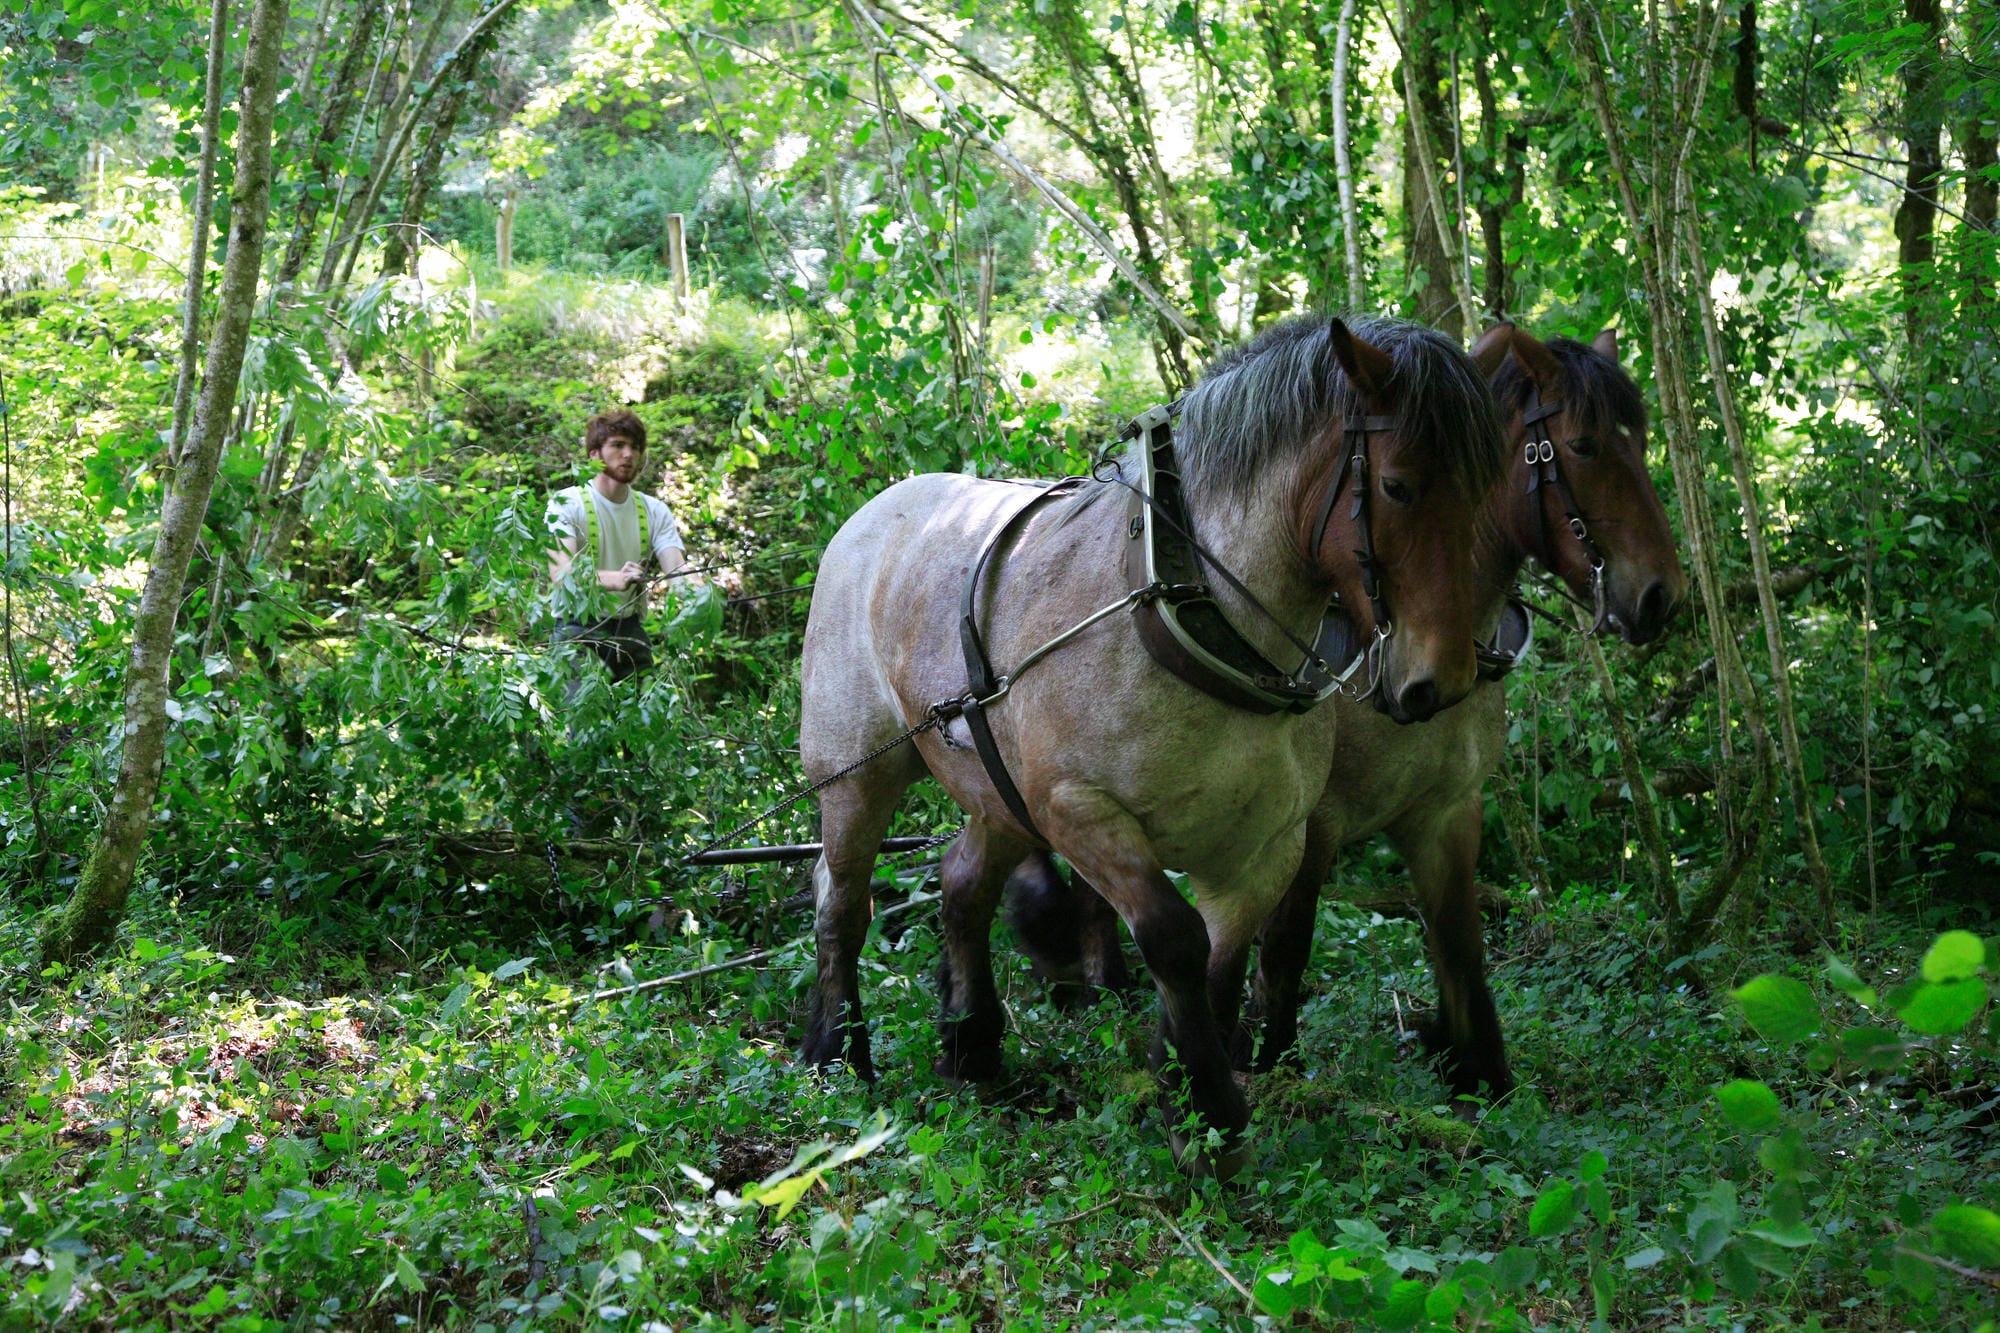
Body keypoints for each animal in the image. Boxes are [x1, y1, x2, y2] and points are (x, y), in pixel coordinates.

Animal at [798, 315, 1507, 1176]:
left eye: (1484, 490)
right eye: (1400, 485)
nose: (1441, 680)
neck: (1184, 611)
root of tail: (873, 512)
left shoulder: (1266, 847)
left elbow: (1220, 961)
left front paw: (1187, 1095)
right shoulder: (1080, 813)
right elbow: (1173, 937)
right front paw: (1207, 1105)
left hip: (999, 794)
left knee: (962, 882)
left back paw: (972, 1045)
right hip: (857, 778)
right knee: (842, 898)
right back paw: (838, 1052)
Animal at [1006, 324, 1687, 1104]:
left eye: (1640, 441)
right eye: (1582, 445)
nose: (1661, 595)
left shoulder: (1446, 807)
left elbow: (1457, 938)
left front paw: (1477, 1068)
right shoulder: (1316, 823)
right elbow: (1284, 945)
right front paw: (1259, 1052)